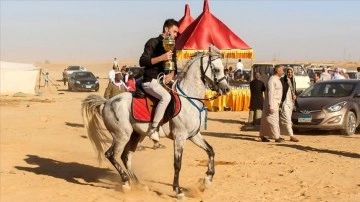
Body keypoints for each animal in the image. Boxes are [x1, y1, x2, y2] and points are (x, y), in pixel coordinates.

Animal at [81, 44, 229, 199]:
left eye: (223, 68)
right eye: (216, 69)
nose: (226, 89)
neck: (189, 99)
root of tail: (108, 102)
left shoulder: (194, 135)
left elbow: (211, 151)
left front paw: (206, 181)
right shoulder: (180, 137)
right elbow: (177, 163)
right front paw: (178, 190)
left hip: (136, 136)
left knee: (125, 156)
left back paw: (139, 184)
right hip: (122, 135)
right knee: (111, 155)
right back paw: (126, 183)